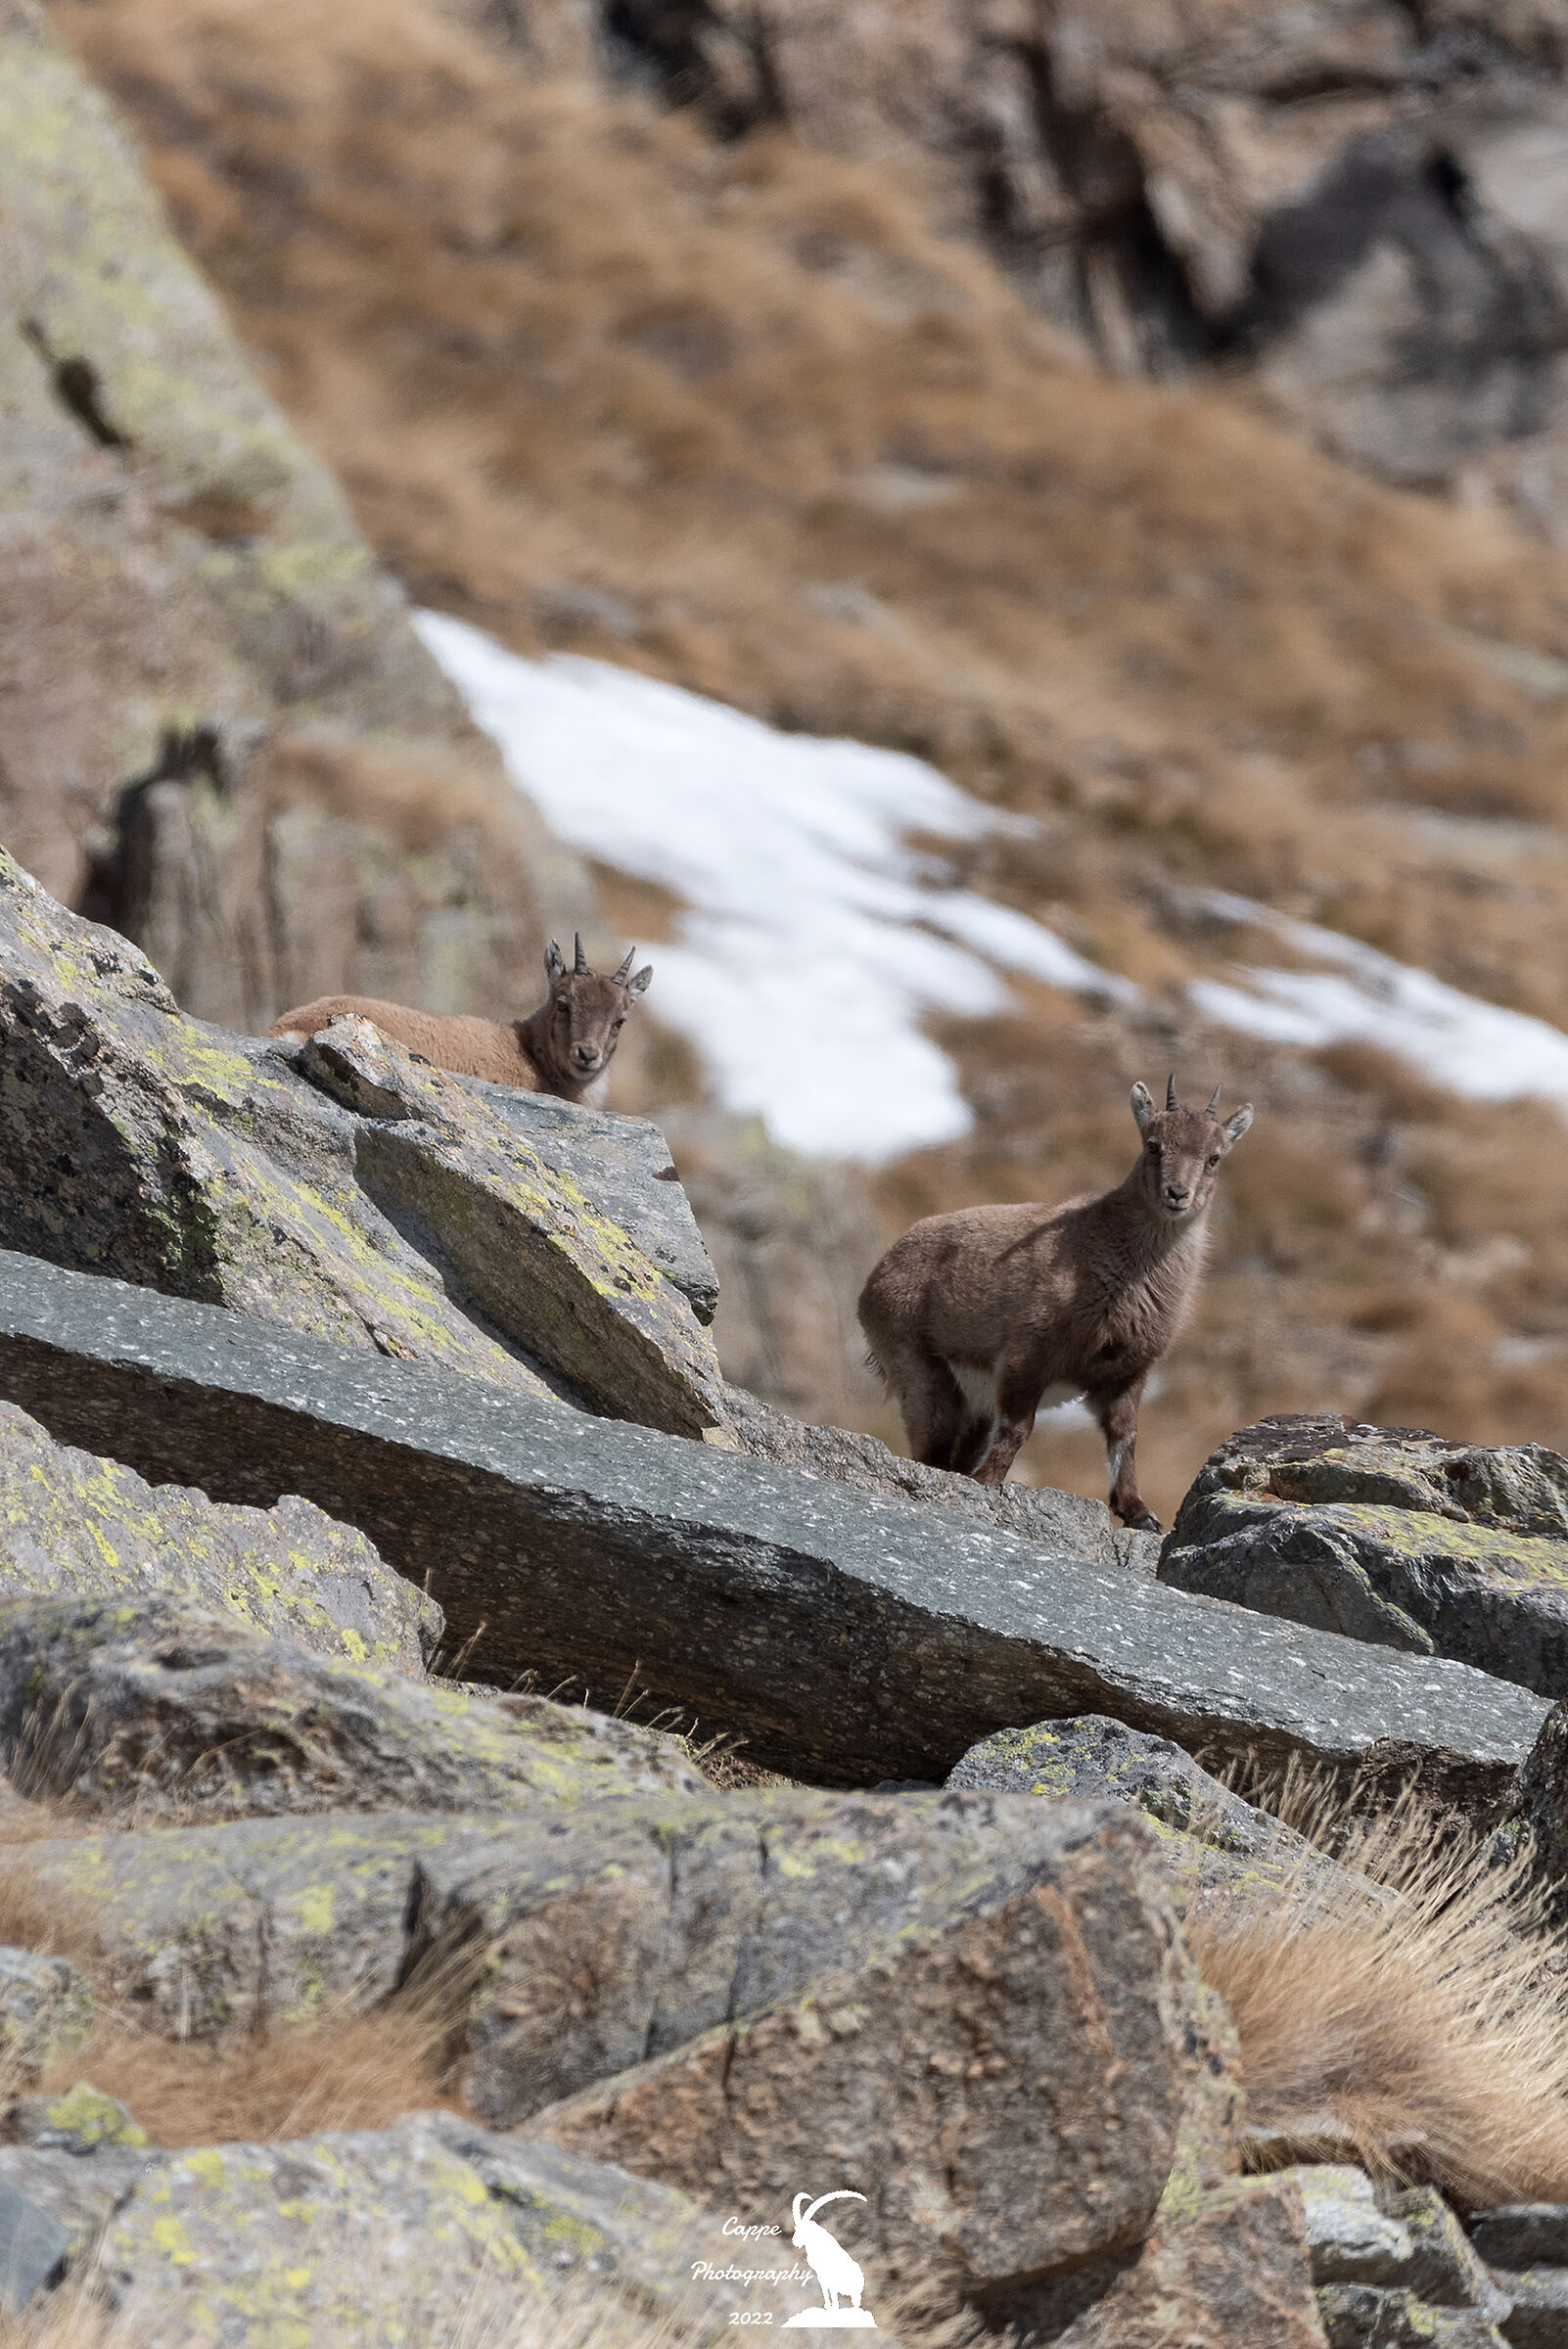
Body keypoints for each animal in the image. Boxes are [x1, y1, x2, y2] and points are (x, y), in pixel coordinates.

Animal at [858, 1076, 1254, 1529]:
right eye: (1153, 1145)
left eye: (1214, 1157)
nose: (1177, 1194)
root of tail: (878, 1273)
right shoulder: (1027, 1355)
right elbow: (1019, 1428)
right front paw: (987, 1482)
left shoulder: (1128, 1370)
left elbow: (1126, 1435)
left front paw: (1137, 1511)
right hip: (921, 1371)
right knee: (932, 1451)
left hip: (973, 1405)